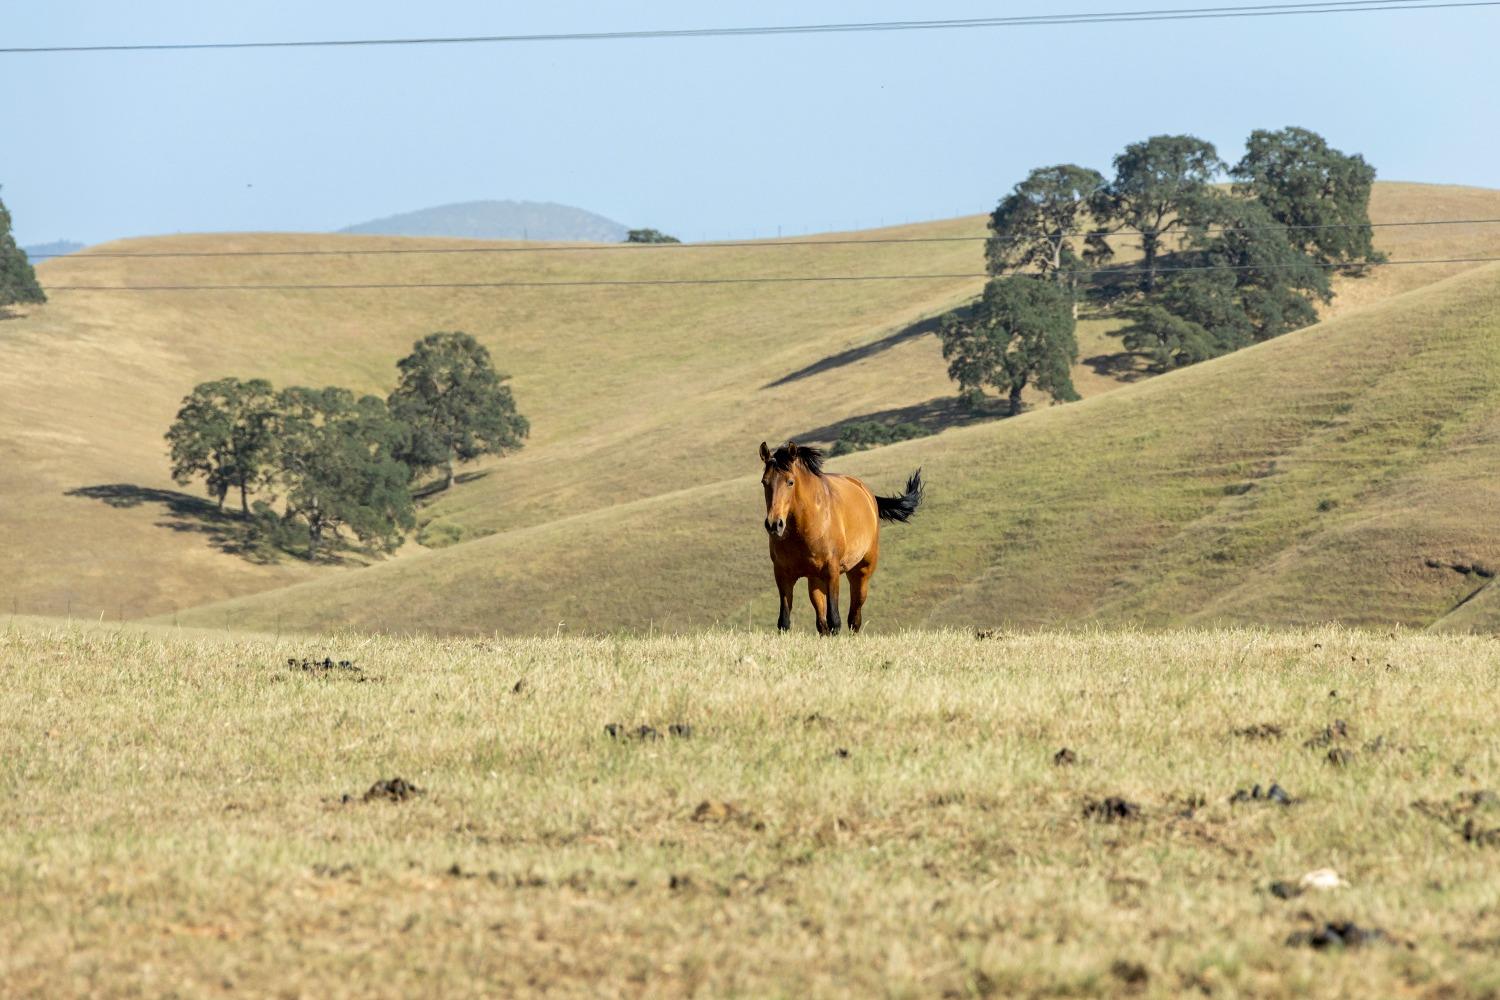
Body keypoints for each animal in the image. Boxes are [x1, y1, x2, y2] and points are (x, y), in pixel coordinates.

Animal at [762, 440, 924, 638]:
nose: (774, 524)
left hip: (860, 572)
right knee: (822, 622)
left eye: (790, 482)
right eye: (764, 482)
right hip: (815, 580)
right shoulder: (782, 574)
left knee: (854, 617)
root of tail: (867, 493)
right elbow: (784, 622)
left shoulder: (832, 571)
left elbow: (835, 620)